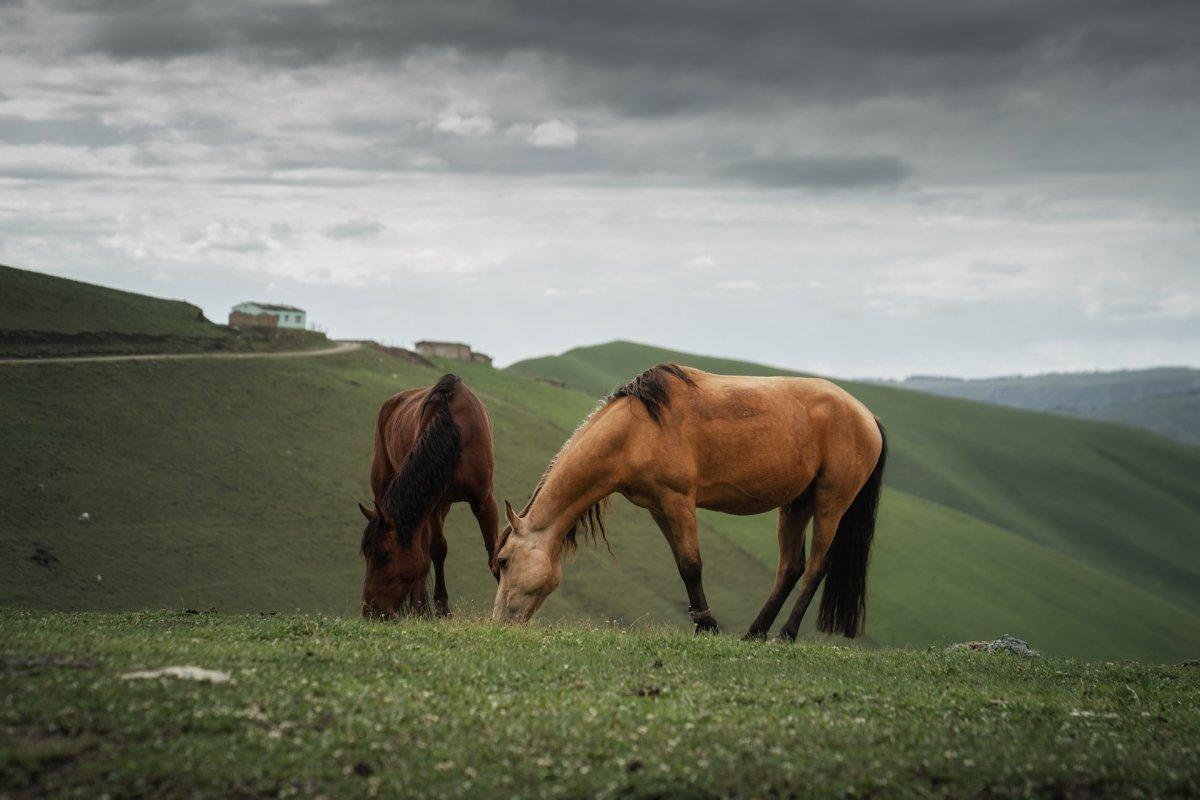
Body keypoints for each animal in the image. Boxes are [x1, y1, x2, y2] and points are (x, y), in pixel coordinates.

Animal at [360, 374, 501, 618]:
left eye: (383, 555)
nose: (370, 611)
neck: (454, 433)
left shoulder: (483, 500)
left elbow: (494, 550)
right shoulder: (433, 503)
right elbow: (436, 550)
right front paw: (439, 607)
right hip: (384, 486)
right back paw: (422, 608)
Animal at [492, 367, 888, 642]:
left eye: (504, 561)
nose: (498, 623)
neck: (637, 429)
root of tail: (867, 416)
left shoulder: (678, 499)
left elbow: (691, 564)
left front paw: (708, 626)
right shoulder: (658, 507)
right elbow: (682, 565)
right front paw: (702, 623)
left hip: (830, 503)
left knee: (817, 567)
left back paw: (785, 634)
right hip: (795, 505)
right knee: (790, 568)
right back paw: (754, 633)